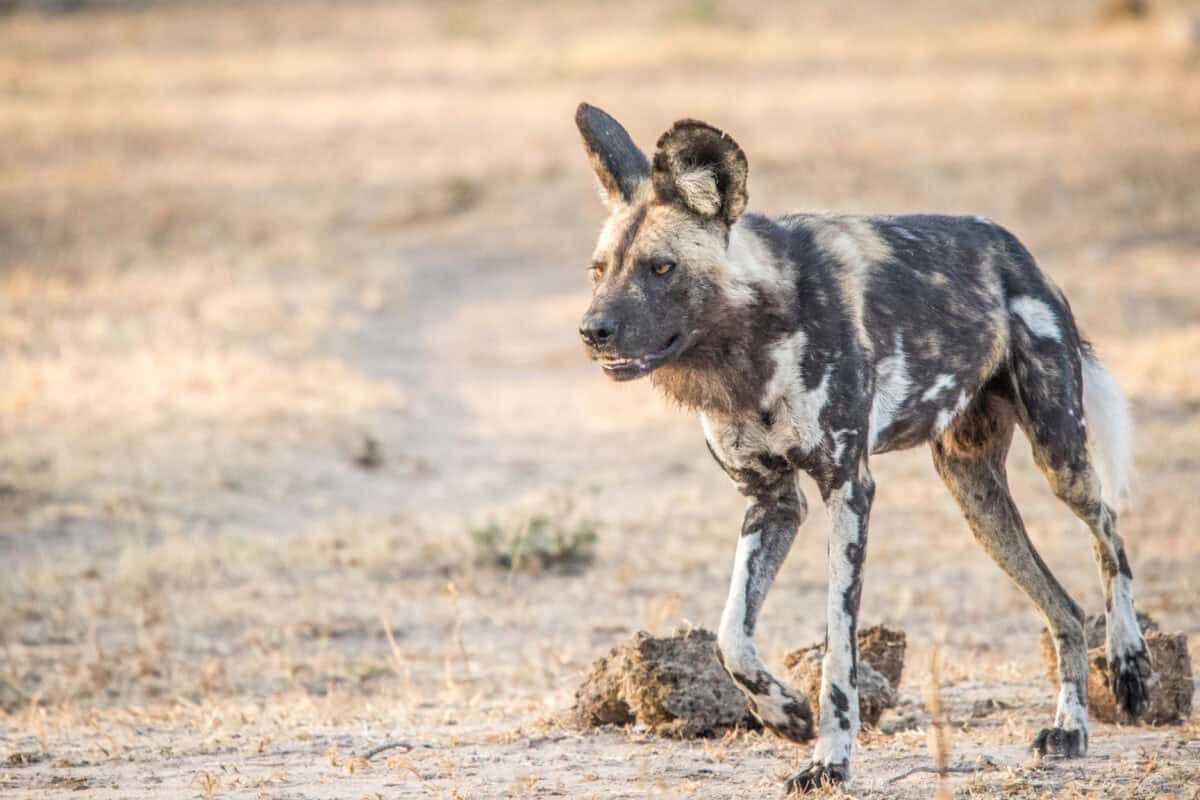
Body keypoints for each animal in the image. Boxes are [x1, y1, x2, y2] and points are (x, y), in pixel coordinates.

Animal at [573, 101, 1152, 796]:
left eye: (661, 268)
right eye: (599, 270)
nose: (592, 331)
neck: (752, 342)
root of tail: (1023, 256)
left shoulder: (848, 490)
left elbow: (839, 649)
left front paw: (830, 758)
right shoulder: (773, 502)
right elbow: (730, 638)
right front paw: (786, 713)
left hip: (1059, 455)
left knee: (1110, 531)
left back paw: (1130, 663)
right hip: (977, 501)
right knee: (1064, 608)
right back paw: (1070, 729)